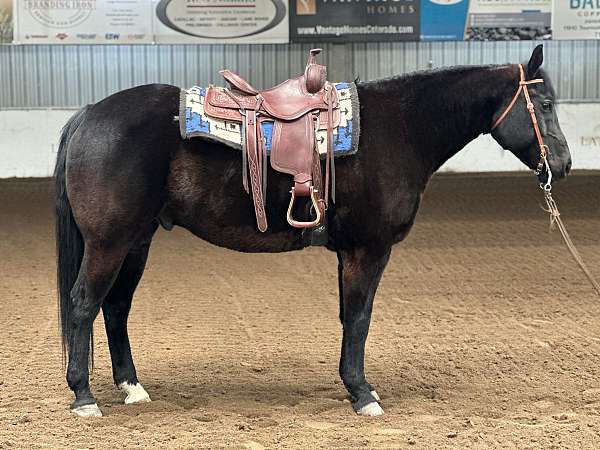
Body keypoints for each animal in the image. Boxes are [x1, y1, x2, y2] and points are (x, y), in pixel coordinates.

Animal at [54, 44, 568, 416]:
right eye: (543, 103)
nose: (562, 165)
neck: (400, 127)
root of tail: (90, 113)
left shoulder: (350, 253)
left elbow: (349, 317)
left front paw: (353, 386)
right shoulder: (368, 249)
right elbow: (360, 318)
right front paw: (364, 394)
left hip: (136, 242)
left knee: (115, 308)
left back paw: (132, 388)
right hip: (109, 243)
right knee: (83, 305)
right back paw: (84, 397)